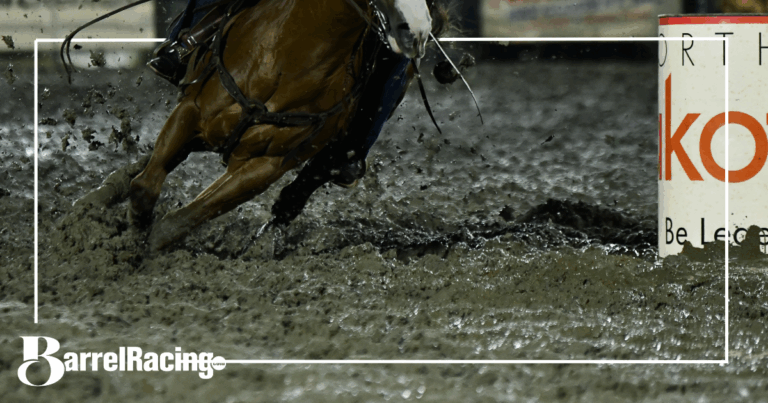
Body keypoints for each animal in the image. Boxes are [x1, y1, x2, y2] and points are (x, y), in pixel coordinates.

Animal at [124, 0, 442, 253]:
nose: (417, 30)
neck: (286, 59)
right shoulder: (191, 111)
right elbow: (144, 188)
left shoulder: (266, 165)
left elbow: (180, 221)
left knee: (296, 196)